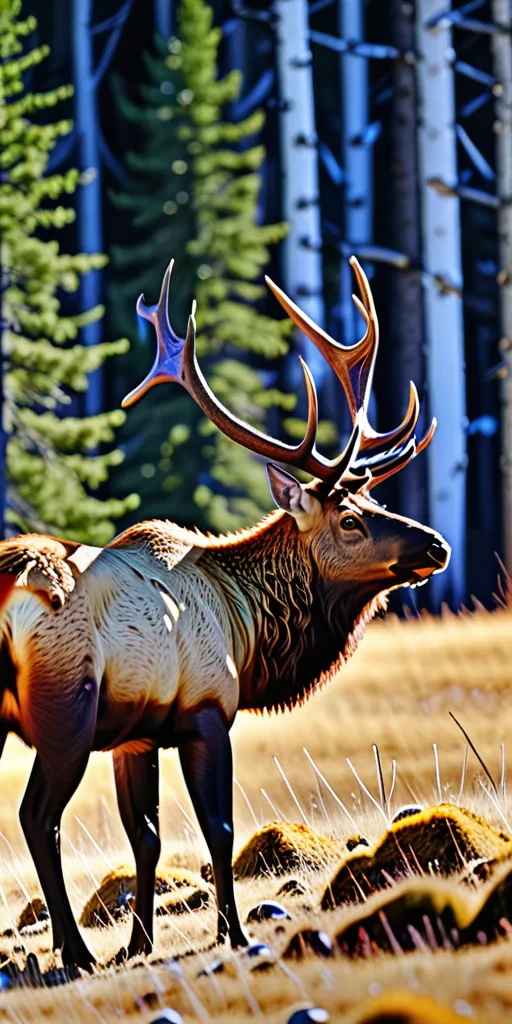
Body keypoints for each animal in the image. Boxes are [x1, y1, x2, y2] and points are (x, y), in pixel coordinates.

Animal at [0, 257, 449, 971]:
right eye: (350, 520)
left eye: (375, 503)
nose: (436, 545)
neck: (247, 629)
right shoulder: (207, 711)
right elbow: (219, 826)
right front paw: (231, 934)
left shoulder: (136, 734)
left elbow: (146, 836)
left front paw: (139, 945)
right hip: (65, 710)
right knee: (37, 817)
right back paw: (76, 952)